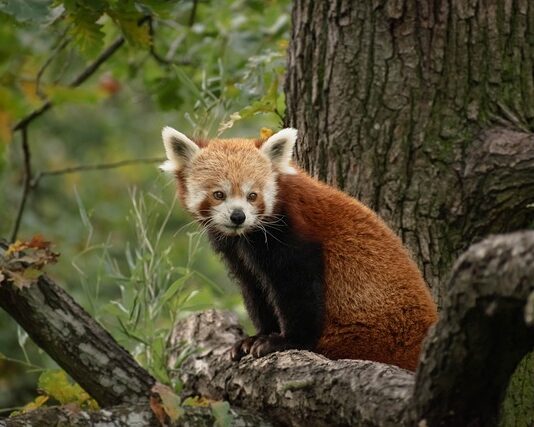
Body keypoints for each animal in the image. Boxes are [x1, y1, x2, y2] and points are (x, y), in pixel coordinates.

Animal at [161, 126, 438, 372]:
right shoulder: (239, 256)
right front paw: (256, 337)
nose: (238, 216)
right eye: (219, 194)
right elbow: (255, 290)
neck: (246, 237)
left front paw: (285, 341)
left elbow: (299, 290)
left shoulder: (294, 236)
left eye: (252, 195)